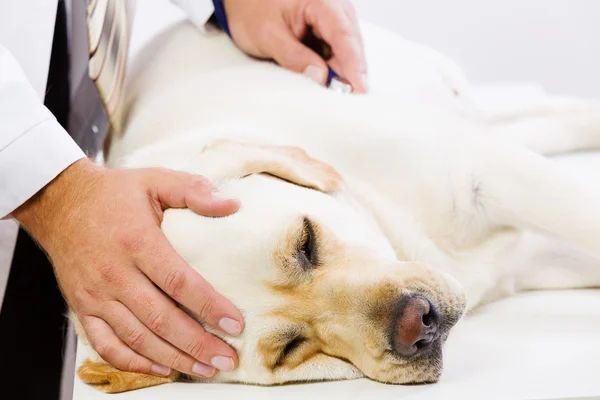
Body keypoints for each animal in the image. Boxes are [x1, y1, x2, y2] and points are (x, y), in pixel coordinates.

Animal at [74, 19, 600, 394]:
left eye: (306, 242)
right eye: (291, 349)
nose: (417, 324)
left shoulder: (486, 173)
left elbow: (583, 216)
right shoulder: (531, 257)